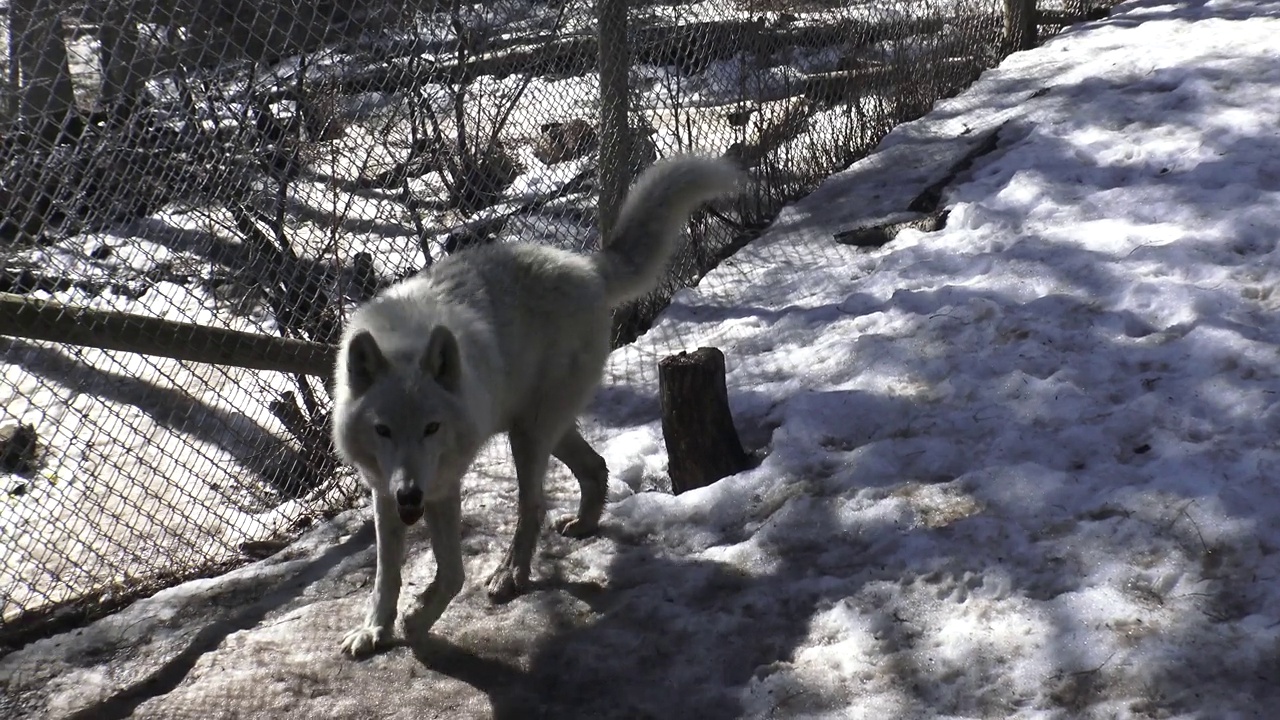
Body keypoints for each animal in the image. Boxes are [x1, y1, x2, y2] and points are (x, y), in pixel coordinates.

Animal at [330, 154, 742, 653]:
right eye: (383, 430)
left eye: (431, 428)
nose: (410, 494)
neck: (404, 343)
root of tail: (586, 265)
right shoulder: (383, 488)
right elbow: (386, 574)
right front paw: (375, 629)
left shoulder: (443, 485)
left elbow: (452, 573)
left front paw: (416, 620)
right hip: (543, 429)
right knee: (595, 467)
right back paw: (583, 525)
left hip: (528, 436)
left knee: (535, 506)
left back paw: (511, 574)